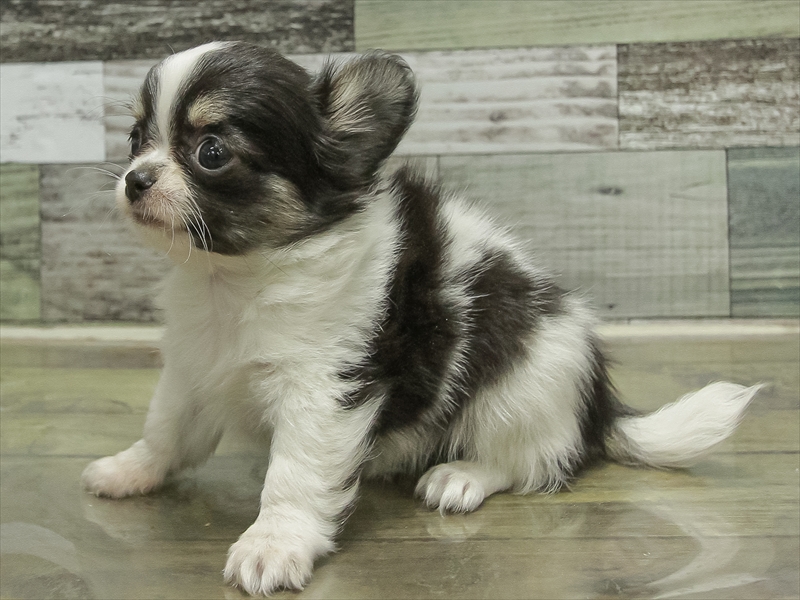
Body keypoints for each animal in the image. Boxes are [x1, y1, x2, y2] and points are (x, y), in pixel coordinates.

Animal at [81, 41, 761, 596]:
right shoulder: (194, 368)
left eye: (212, 151)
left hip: (522, 384)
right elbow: (166, 428)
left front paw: (273, 544)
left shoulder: (324, 390)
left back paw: (460, 476)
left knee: (531, 461)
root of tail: (597, 408)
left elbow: (295, 475)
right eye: (136, 139)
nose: (135, 179)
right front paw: (130, 470)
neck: (235, 281)